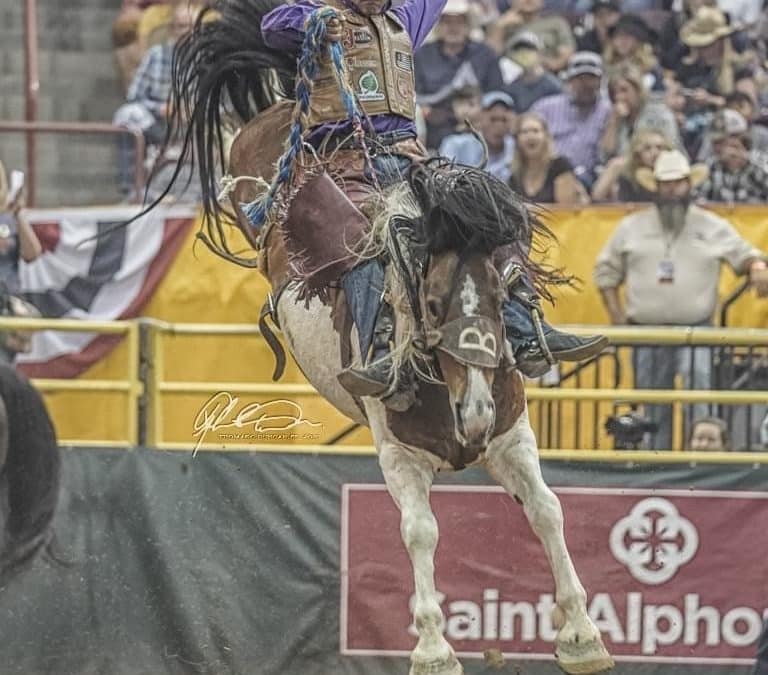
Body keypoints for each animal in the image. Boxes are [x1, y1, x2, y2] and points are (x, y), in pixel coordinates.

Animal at [158, 2, 616, 672]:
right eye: (431, 302)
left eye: (504, 293)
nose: (474, 412)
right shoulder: (397, 454)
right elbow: (421, 531)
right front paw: (432, 647)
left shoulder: (510, 435)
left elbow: (547, 510)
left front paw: (582, 633)